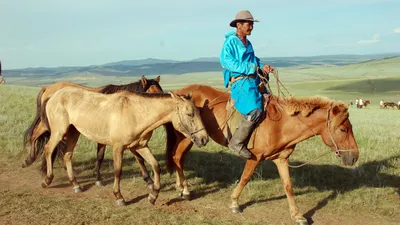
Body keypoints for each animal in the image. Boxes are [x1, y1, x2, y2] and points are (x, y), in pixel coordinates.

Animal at [21, 75, 162, 186]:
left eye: (161, 91)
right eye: (150, 93)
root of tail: (48, 88)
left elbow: (138, 157)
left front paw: (148, 179)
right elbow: (101, 156)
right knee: (34, 135)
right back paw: (30, 161)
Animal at [39, 86, 209, 206]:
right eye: (189, 114)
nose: (204, 139)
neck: (135, 113)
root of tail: (53, 95)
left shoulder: (140, 146)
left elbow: (155, 166)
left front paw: (153, 195)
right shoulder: (118, 147)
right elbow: (117, 171)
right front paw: (119, 197)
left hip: (74, 132)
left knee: (67, 155)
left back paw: (76, 185)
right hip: (59, 132)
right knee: (48, 149)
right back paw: (47, 180)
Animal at [161, 85, 358, 225]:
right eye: (343, 129)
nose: (355, 156)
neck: (282, 124)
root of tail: (179, 92)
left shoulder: (281, 159)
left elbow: (288, 186)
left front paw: (297, 215)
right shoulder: (254, 156)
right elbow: (245, 178)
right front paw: (234, 203)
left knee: (178, 158)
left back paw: (180, 187)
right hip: (187, 137)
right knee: (177, 157)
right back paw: (185, 191)